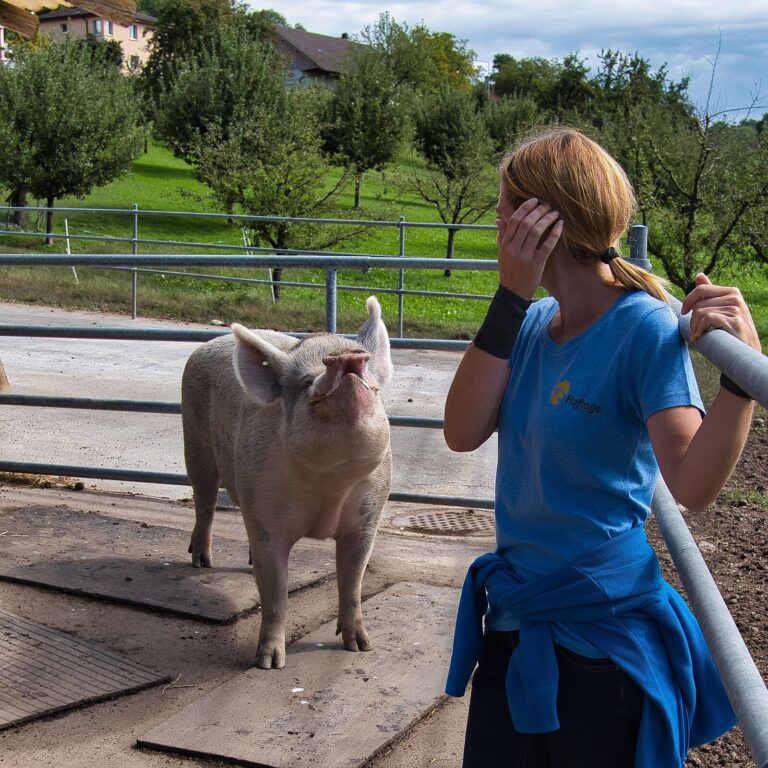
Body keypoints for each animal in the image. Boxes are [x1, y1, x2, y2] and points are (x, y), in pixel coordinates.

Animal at [182, 296, 392, 668]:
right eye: (307, 381)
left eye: (369, 376)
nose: (346, 357)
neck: (330, 484)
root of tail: (208, 344)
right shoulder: (267, 517)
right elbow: (275, 591)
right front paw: (268, 663)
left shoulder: (368, 517)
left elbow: (352, 582)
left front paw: (362, 647)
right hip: (194, 441)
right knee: (204, 501)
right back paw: (202, 562)